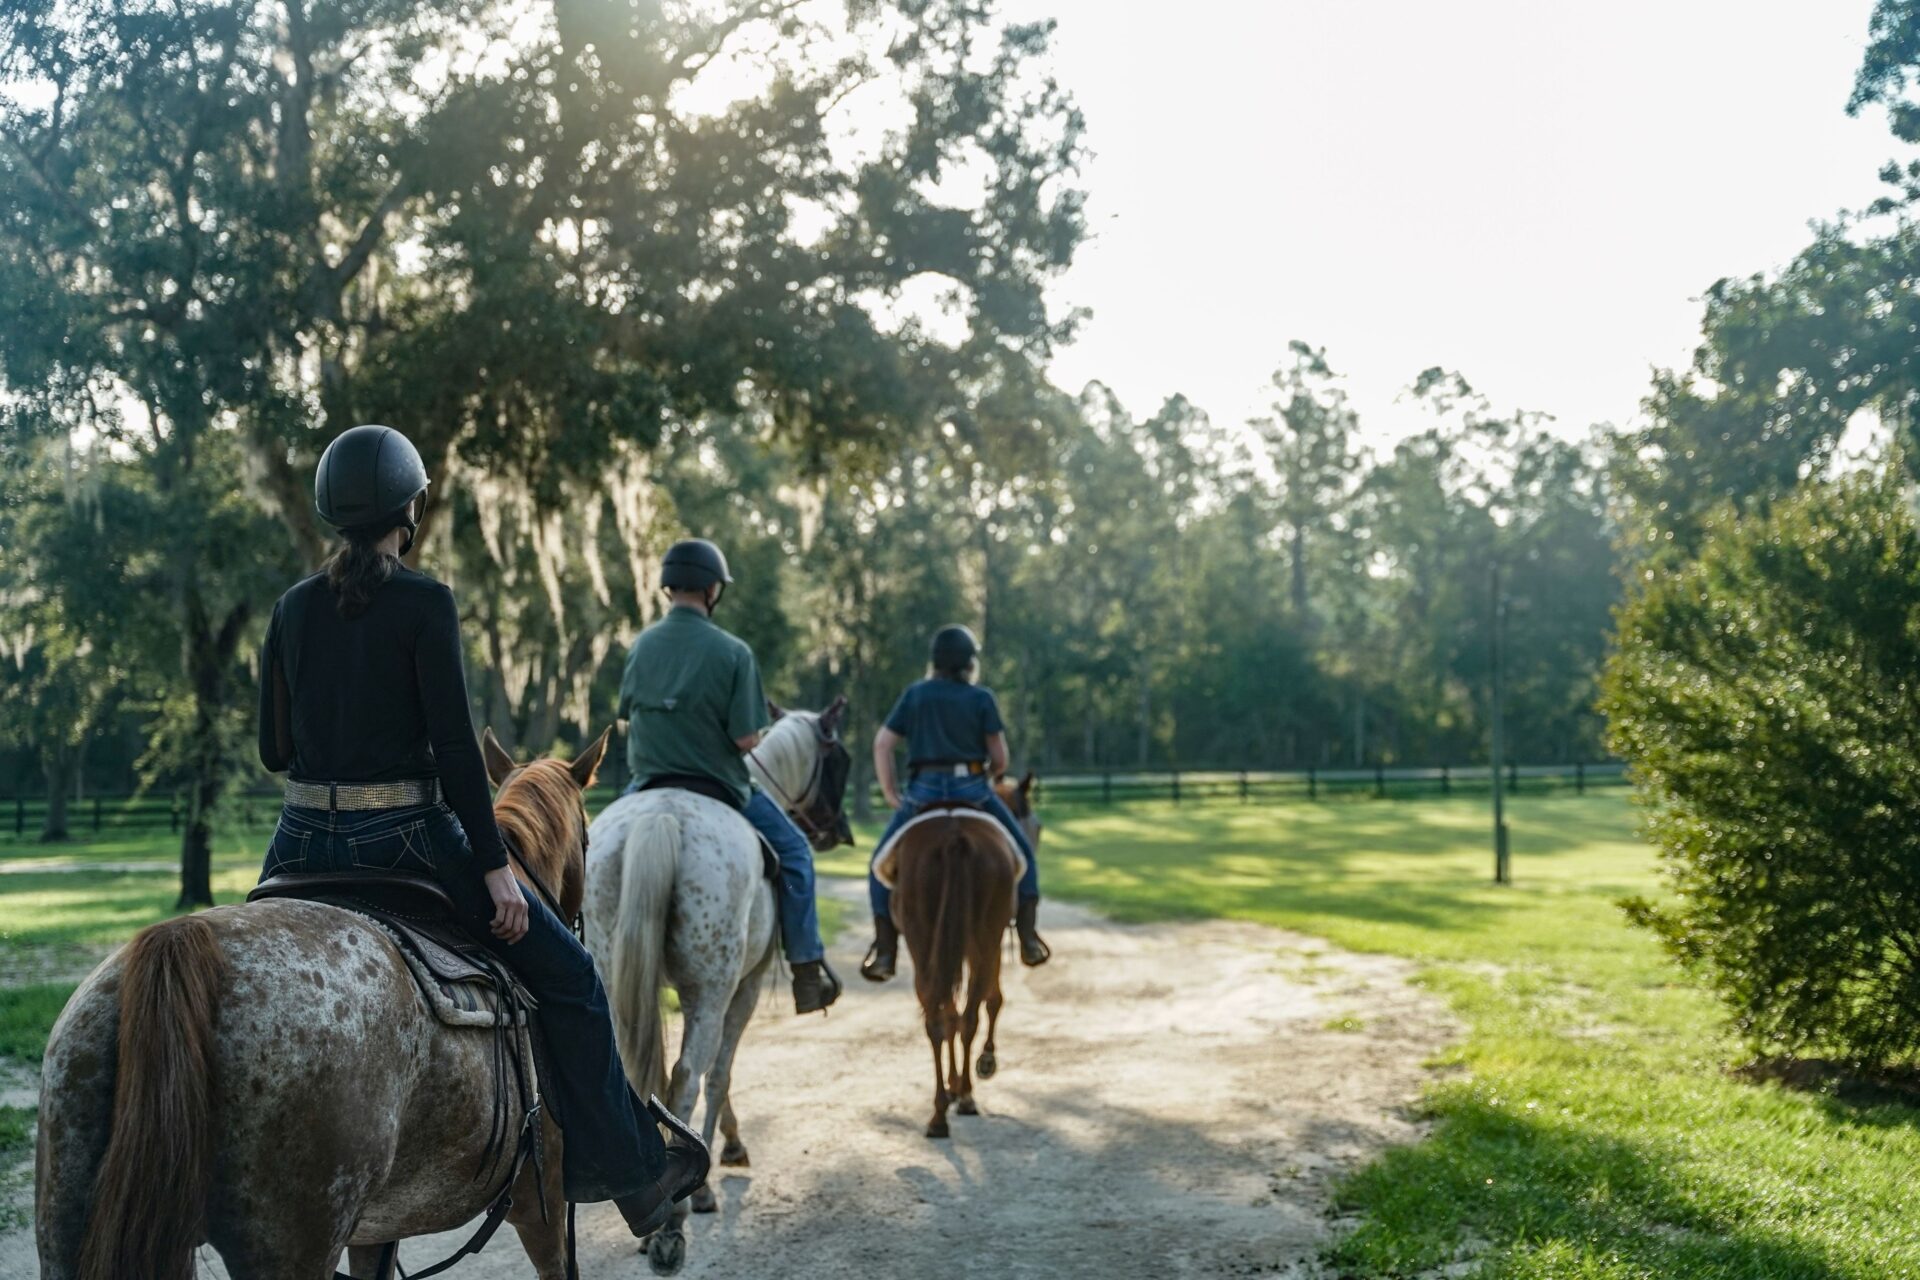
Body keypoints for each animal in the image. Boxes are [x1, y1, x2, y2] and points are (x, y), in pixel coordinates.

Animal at [35, 729, 606, 1280]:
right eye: (587, 833)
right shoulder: (542, 1205)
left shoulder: (375, 1229)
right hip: (292, 1243)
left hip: (65, 1222)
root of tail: (181, 940)